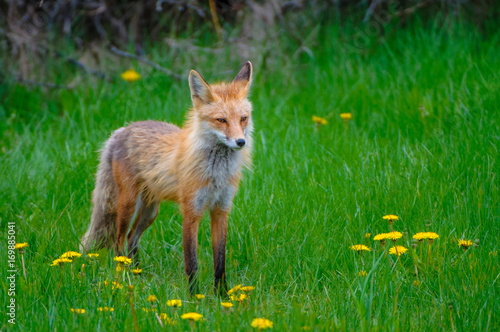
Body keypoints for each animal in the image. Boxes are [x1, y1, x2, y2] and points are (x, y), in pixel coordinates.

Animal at [81, 61, 254, 294]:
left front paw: (222, 296)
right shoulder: (191, 212)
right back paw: (124, 277)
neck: (215, 173)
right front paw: (194, 298)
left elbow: (220, 262)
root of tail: (122, 130)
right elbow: (191, 263)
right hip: (127, 204)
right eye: (221, 120)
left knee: (132, 239)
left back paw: (138, 276)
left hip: (149, 211)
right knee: (119, 241)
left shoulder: (221, 210)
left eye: (243, 118)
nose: (240, 142)